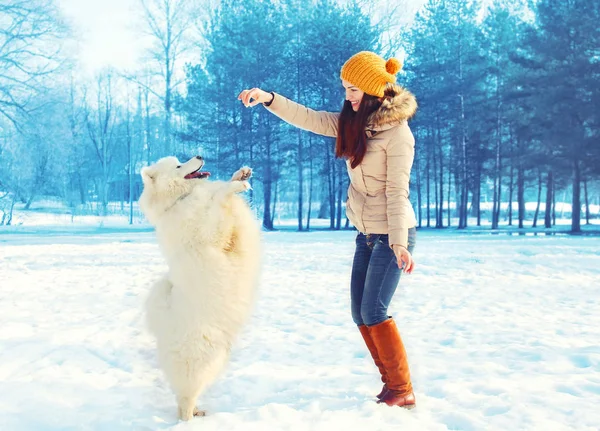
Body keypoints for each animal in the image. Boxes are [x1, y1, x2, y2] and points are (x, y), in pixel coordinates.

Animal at [142, 156, 264, 422]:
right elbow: (220, 200)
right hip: (200, 357)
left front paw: (240, 175)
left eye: (180, 159)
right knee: (184, 397)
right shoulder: (212, 232)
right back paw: (188, 419)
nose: (199, 156)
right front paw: (235, 186)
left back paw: (199, 411)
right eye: (179, 166)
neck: (180, 199)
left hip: (217, 359)